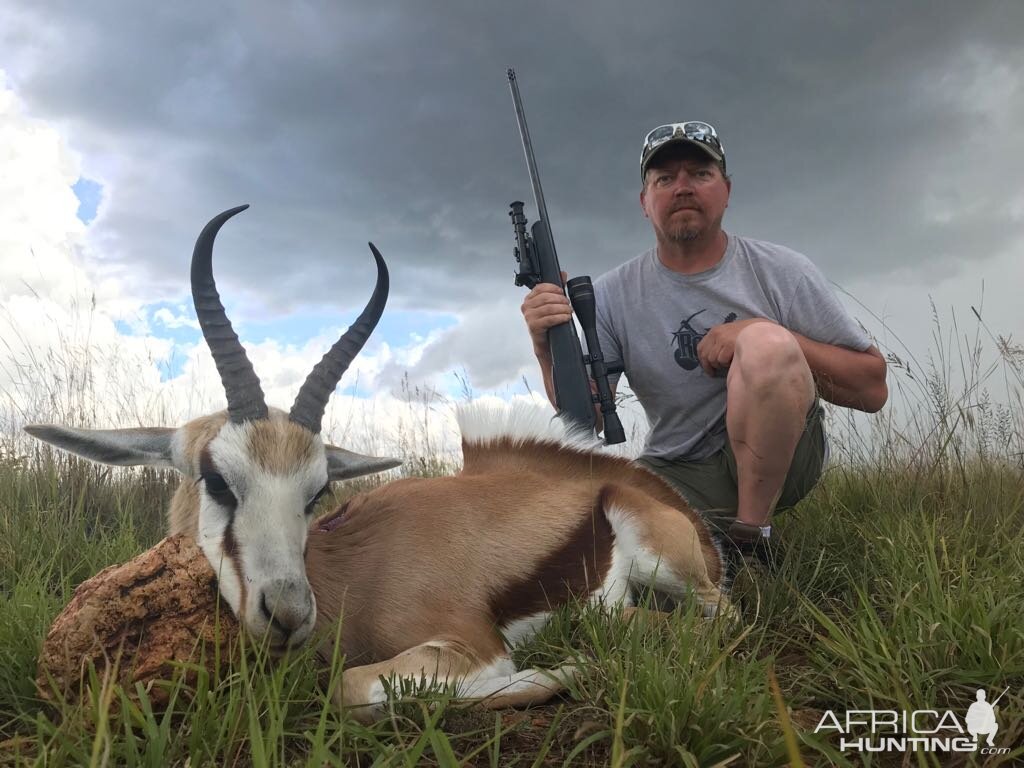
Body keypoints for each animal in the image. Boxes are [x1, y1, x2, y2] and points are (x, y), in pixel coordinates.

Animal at [25, 204, 729, 720]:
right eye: (217, 478)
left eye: (316, 493)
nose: (289, 616)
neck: (346, 579)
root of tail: (642, 488)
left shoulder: (472, 643)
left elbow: (355, 687)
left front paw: (566, 668)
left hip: (681, 578)